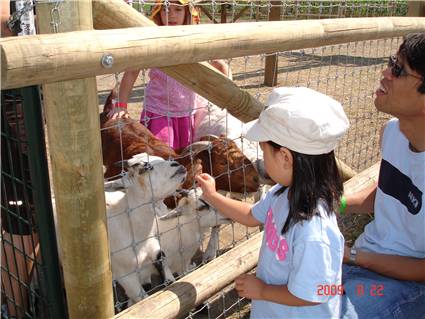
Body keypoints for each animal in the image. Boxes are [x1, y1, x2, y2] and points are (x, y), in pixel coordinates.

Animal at [104, 155, 186, 304]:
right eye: (145, 168)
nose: (177, 165)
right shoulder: (126, 276)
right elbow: (142, 300)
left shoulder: (156, 256)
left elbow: (170, 284)